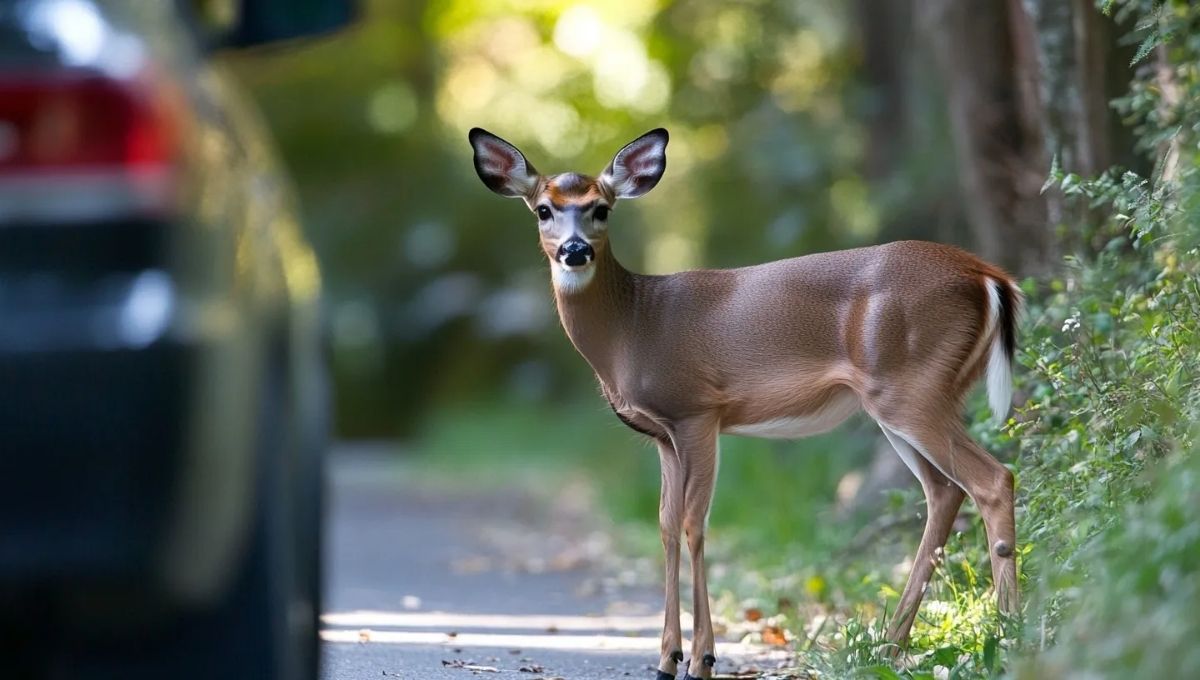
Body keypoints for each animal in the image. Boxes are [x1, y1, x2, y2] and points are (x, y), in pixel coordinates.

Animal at [468, 127, 1021, 680]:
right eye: (543, 209)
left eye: (601, 208)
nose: (575, 250)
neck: (633, 327)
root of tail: (989, 276)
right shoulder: (663, 436)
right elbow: (665, 525)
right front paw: (666, 658)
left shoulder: (698, 411)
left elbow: (694, 523)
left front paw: (702, 658)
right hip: (903, 399)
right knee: (944, 491)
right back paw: (890, 645)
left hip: (911, 385)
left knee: (993, 479)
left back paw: (1009, 633)